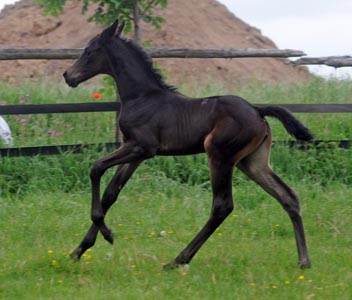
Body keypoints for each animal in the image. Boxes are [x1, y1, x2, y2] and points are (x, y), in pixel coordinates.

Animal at [64, 19, 314, 268]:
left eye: (89, 51)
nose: (68, 76)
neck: (142, 98)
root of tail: (257, 110)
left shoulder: (142, 147)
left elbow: (96, 168)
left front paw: (107, 234)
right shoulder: (135, 153)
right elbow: (110, 193)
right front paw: (80, 249)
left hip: (219, 154)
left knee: (222, 206)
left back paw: (178, 260)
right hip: (252, 162)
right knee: (288, 196)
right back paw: (304, 261)